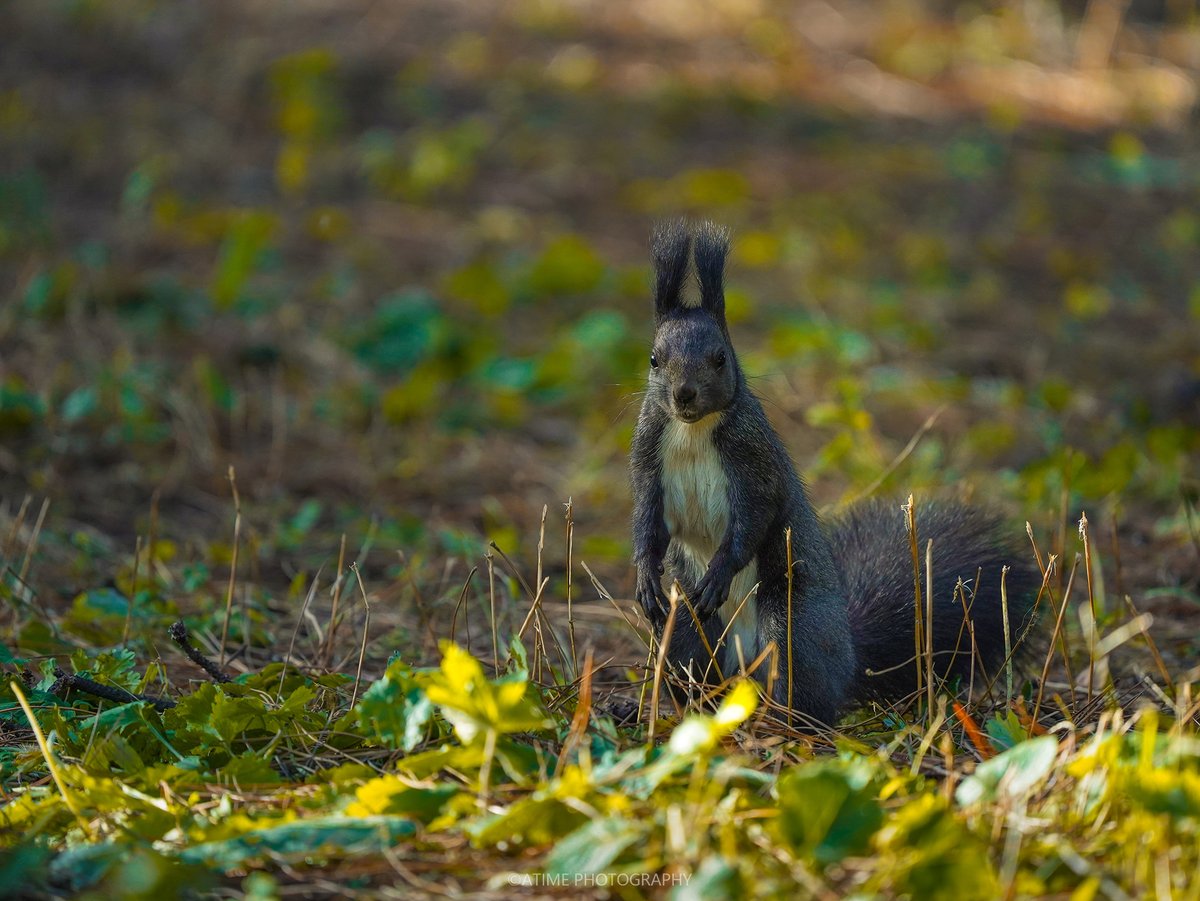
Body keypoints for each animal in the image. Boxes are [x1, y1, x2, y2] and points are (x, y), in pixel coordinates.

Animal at [630, 220, 1040, 726]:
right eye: (653, 359)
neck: (693, 431)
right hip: (684, 627)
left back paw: (783, 721)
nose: (684, 394)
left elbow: (755, 518)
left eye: (721, 357)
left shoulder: (756, 464)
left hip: (793, 626)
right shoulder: (648, 460)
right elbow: (647, 521)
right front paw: (645, 576)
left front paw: (720, 570)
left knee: (802, 687)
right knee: (691, 657)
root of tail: (847, 660)